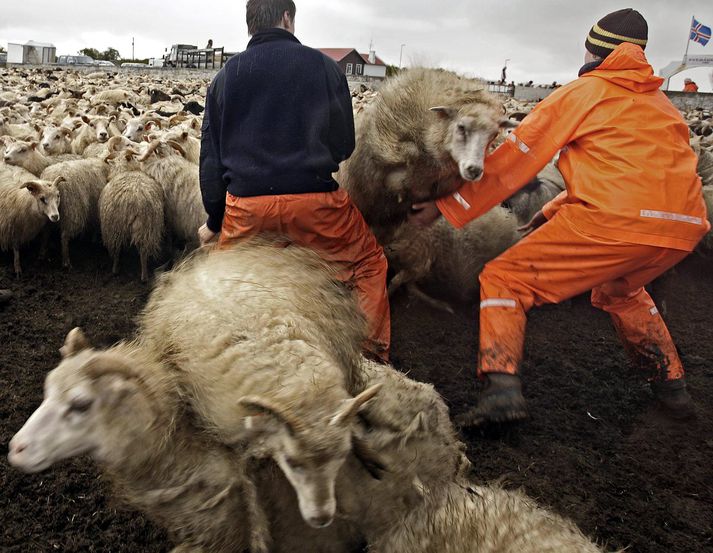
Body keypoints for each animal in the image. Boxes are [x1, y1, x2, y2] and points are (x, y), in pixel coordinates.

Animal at [98, 149, 164, 280]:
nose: (107, 178)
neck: (126, 170)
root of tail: (131, 201)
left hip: (114, 227)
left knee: (117, 249)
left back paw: (115, 270)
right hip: (145, 228)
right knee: (143, 251)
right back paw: (144, 276)